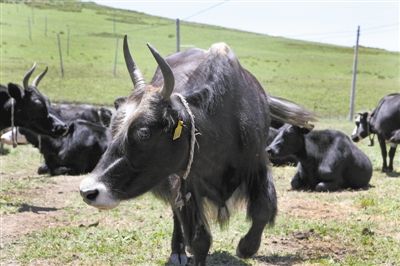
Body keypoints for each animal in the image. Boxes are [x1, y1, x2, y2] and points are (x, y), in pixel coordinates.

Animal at [79, 35, 316, 266]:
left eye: (144, 133)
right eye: (112, 127)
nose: (88, 191)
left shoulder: (258, 165)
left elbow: (263, 209)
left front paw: (246, 247)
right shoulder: (186, 182)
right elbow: (199, 239)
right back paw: (178, 252)